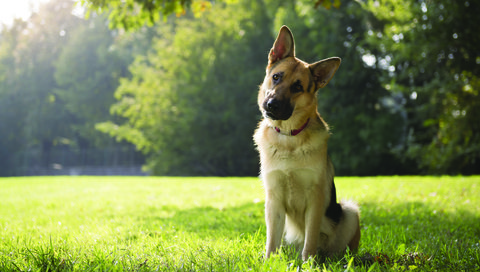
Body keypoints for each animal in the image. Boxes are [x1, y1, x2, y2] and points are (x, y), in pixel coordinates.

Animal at [255, 26, 360, 262]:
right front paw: (269, 262)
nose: (271, 105)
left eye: (298, 87)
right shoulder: (273, 199)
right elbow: (271, 241)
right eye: (276, 77)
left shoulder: (316, 198)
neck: (289, 137)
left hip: (349, 211)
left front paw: (308, 263)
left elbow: (310, 238)